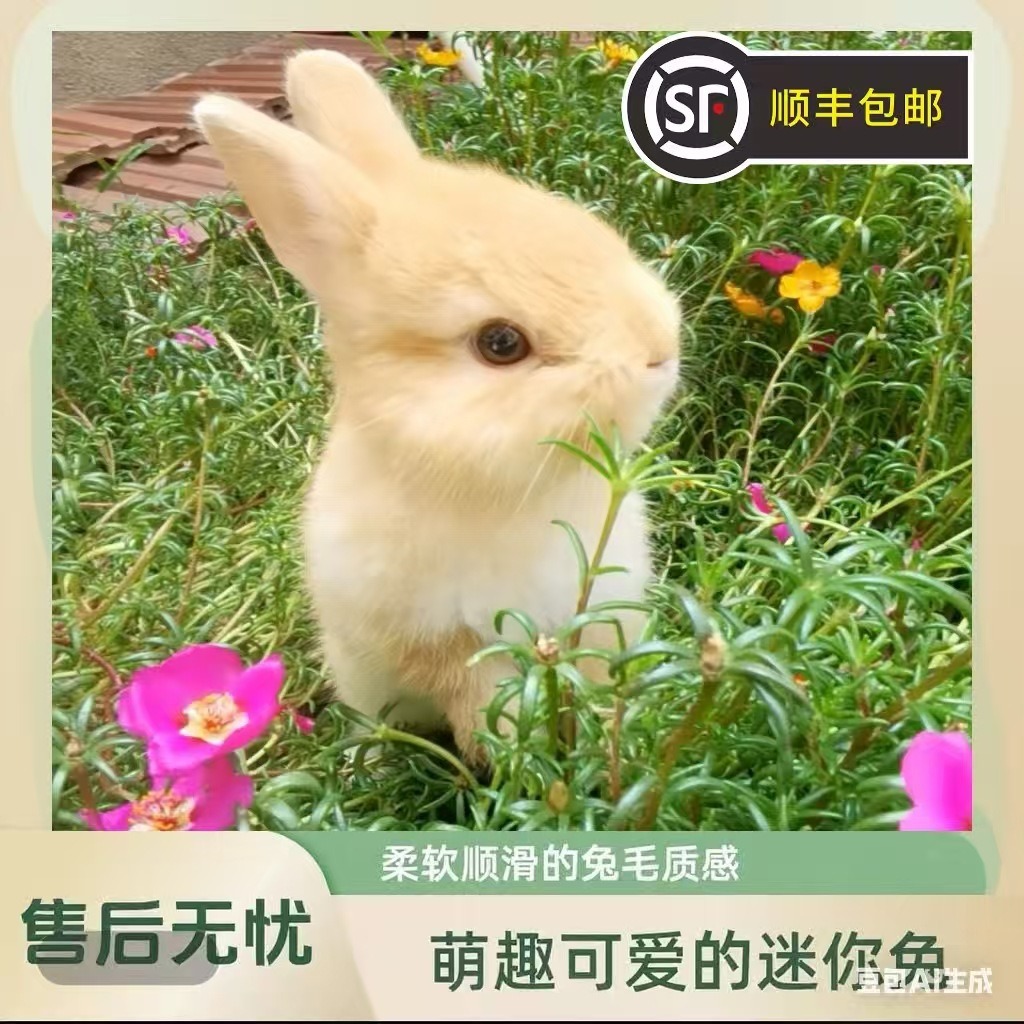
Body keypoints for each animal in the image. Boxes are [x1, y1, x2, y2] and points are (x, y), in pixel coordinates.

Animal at [194, 49, 681, 768]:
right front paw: (520, 755)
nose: (660, 348)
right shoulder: (440, 641)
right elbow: (482, 698)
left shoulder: (600, 616)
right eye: (500, 343)